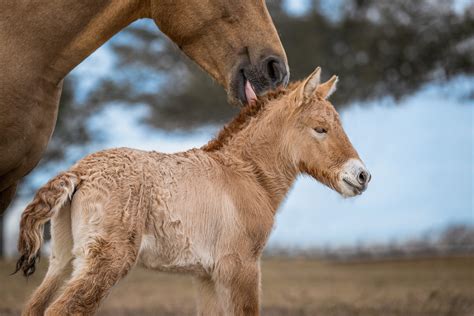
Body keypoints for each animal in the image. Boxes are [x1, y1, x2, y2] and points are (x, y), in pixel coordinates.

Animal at [16, 68, 370, 314]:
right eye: (320, 129)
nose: (362, 175)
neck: (243, 173)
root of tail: (79, 172)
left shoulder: (206, 276)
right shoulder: (241, 266)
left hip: (63, 260)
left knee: (35, 306)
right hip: (106, 261)